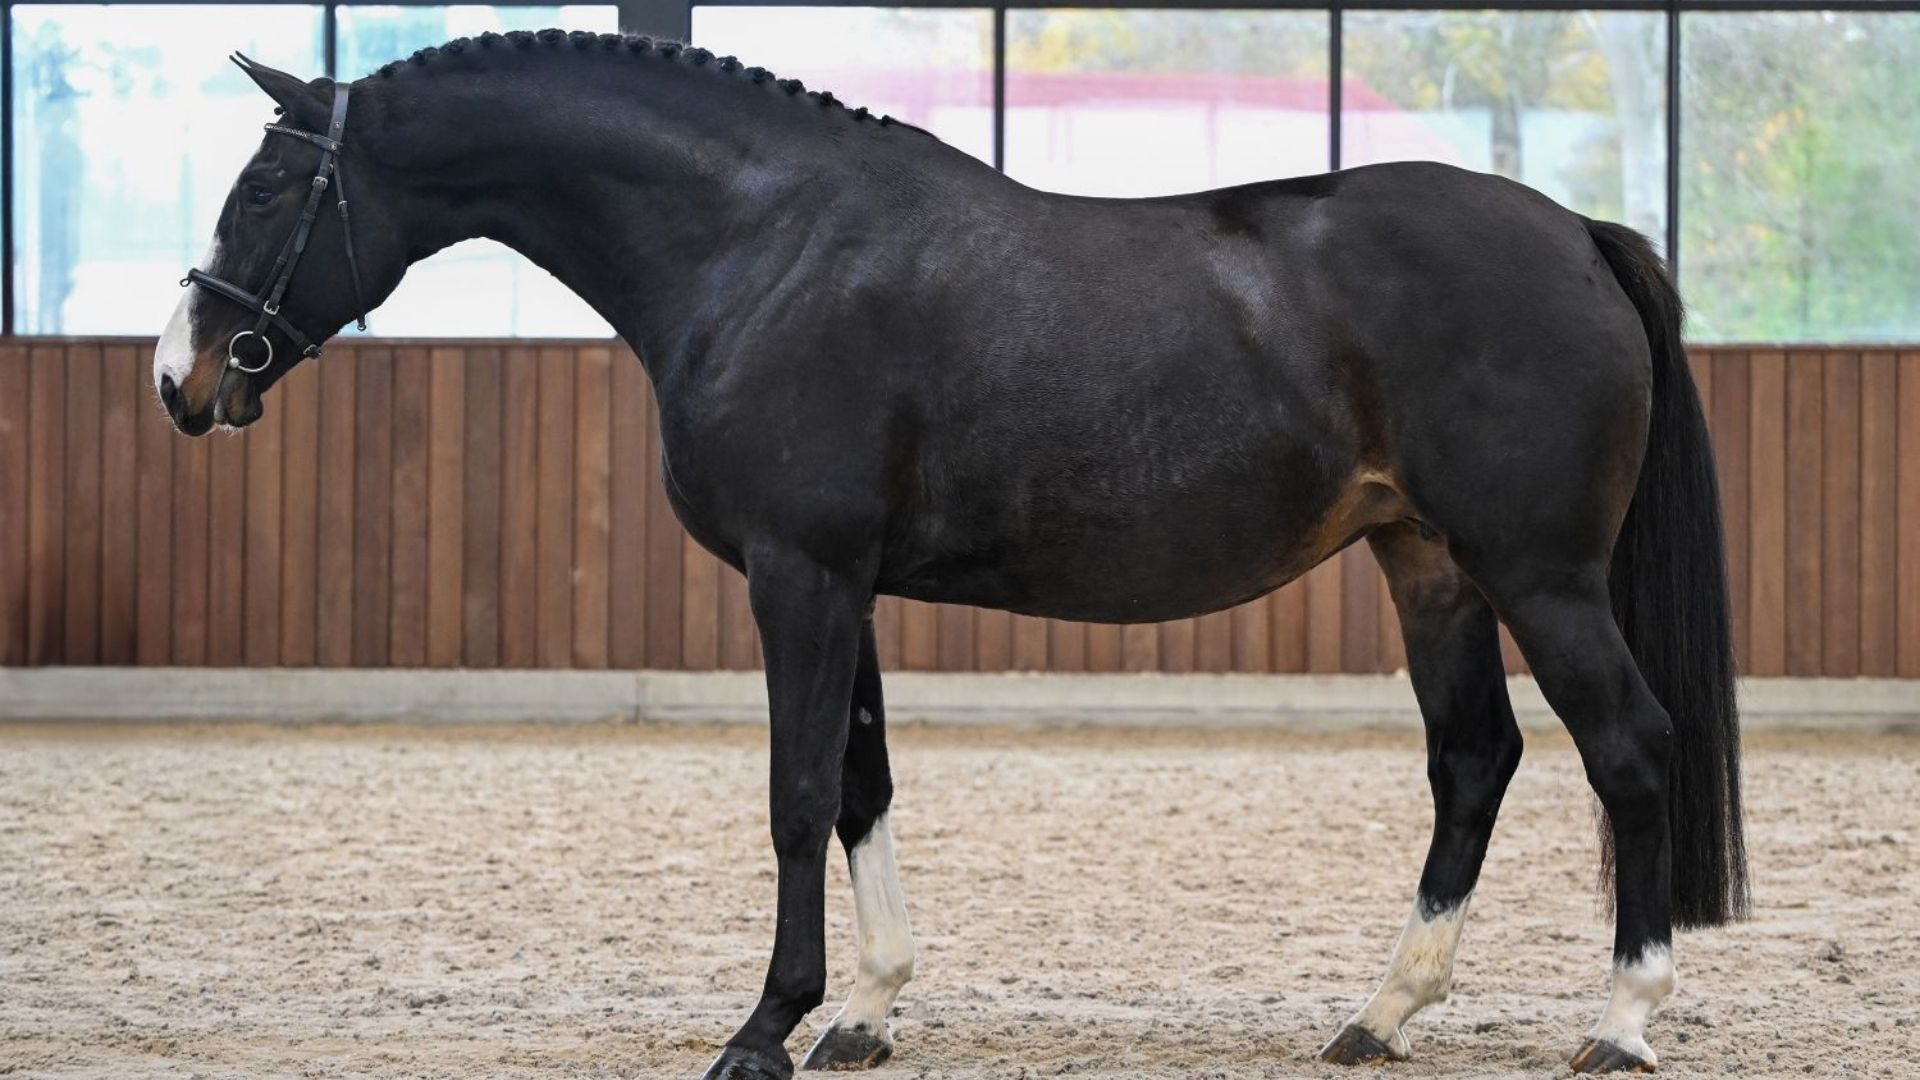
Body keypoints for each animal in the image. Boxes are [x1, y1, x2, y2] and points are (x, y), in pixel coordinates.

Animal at [154, 31, 1747, 1079]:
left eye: (262, 191)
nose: (184, 376)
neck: (764, 243)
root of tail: (1579, 232)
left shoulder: (798, 574)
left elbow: (797, 795)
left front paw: (765, 1030)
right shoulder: (838, 583)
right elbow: (862, 783)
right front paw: (864, 1014)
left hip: (1537, 574)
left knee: (1630, 747)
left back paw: (1621, 1024)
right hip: (1427, 564)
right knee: (1476, 759)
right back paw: (1379, 1015)